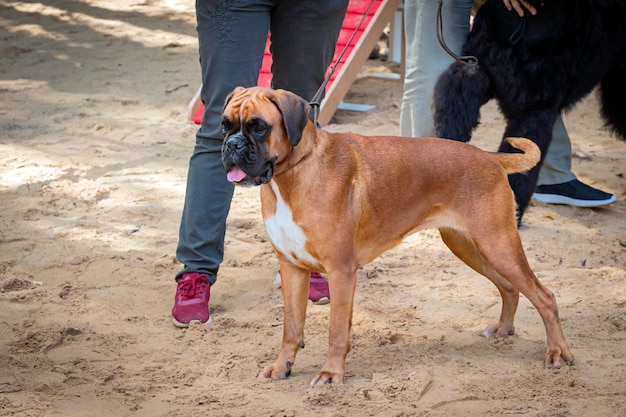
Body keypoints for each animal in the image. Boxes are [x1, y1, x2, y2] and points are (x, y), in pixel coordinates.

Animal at [219, 86, 572, 386]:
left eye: (259, 127)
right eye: (225, 125)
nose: (232, 145)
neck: (293, 173)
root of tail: (489, 157)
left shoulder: (341, 272)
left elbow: (336, 330)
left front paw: (331, 374)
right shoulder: (292, 268)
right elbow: (291, 328)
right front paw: (283, 367)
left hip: (498, 245)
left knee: (545, 296)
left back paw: (558, 352)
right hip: (470, 247)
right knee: (510, 288)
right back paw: (503, 330)